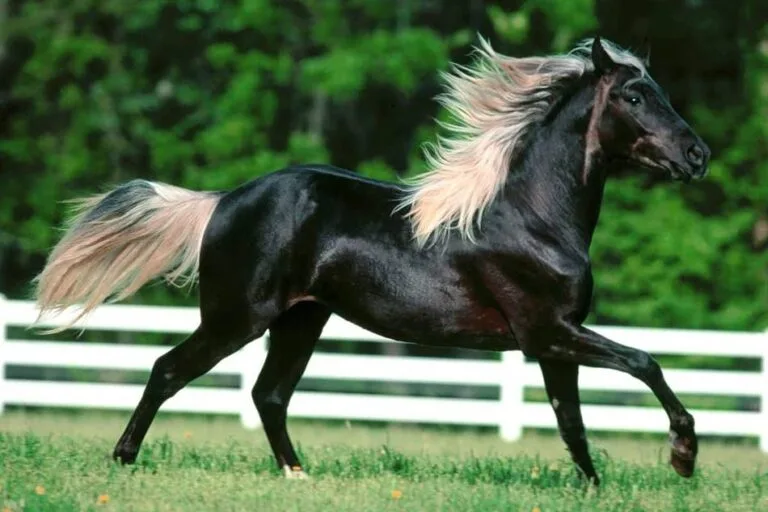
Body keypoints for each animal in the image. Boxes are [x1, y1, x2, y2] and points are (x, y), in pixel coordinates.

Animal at [33, 36, 710, 486]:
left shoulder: (553, 340)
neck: (533, 217)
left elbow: (571, 421)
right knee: (169, 370)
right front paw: (683, 457)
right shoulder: (549, 331)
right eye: (635, 95)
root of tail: (223, 201)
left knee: (268, 394)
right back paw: (123, 460)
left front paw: (594, 488)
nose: (697, 156)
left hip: (300, 319)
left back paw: (298, 476)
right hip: (237, 318)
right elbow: (645, 362)